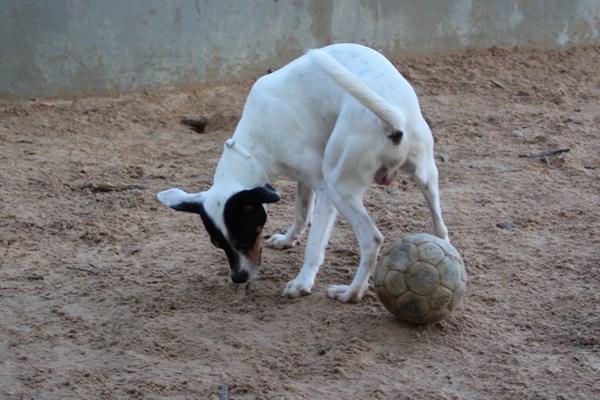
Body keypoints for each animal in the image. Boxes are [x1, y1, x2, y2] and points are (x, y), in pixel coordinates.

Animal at [157, 42, 448, 302]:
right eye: (218, 244)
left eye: (245, 238)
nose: (239, 278)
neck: (254, 142)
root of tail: (395, 121)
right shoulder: (304, 178)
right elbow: (301, 212)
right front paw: (288, 239)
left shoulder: (323, 187)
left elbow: (315, 244)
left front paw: (302, 282)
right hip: (427, 176)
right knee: (440, 227)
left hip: (339, 188)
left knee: (372, 240)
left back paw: (350, 293)